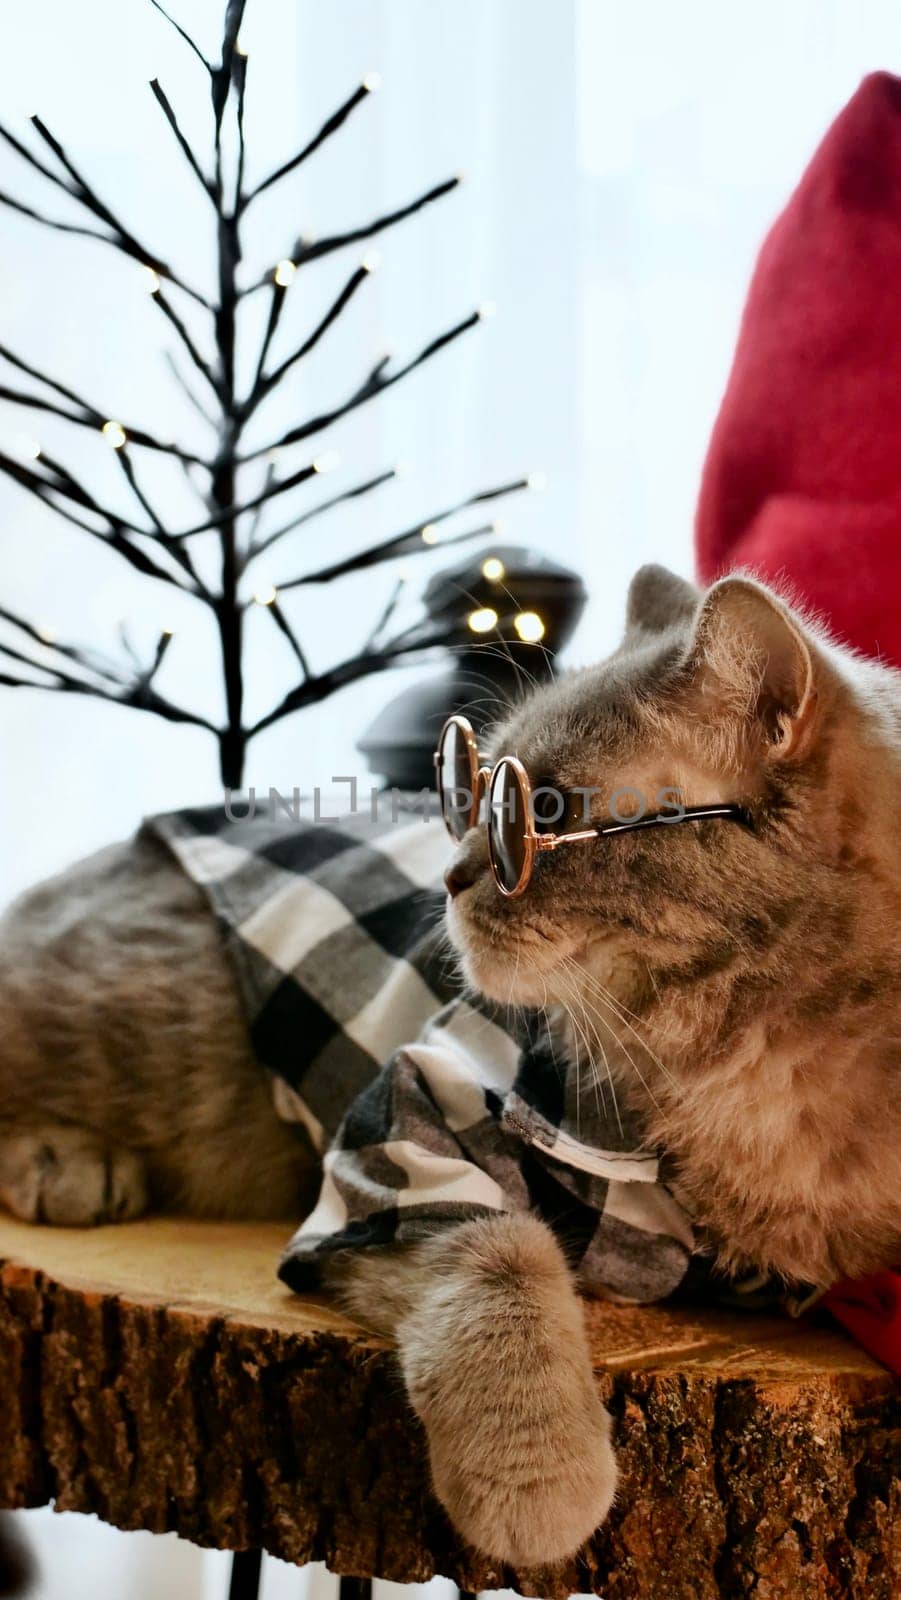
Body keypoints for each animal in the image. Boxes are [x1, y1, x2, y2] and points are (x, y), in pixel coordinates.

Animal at [1, 569, 901, 1568]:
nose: (451, 874)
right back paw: (66, 1164)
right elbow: (501, 1261)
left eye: (539, 811)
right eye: (471, 791)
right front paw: (539, 1483)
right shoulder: (413, 1127)